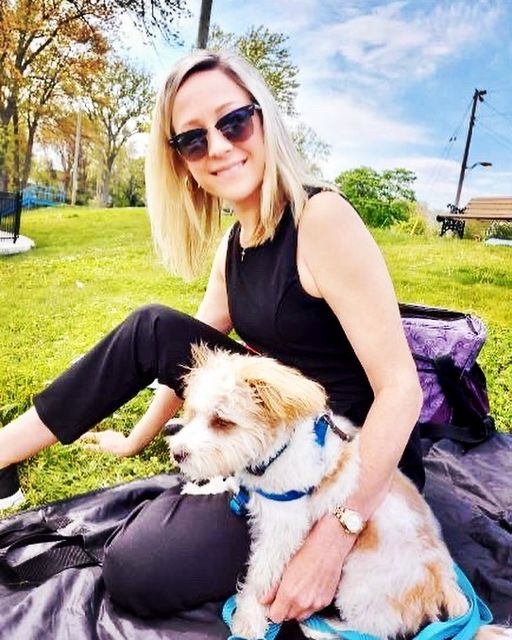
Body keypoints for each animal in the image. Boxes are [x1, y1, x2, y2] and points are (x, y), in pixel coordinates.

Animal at [169, 348, 508, 640]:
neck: (276, 454)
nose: (177, 453)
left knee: (378, 629)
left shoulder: (283, 532)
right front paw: (201, 485)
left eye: (222, 421)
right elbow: (230, 480)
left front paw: (248, 621)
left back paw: (322, 628)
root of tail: (444, 577)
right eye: (193, 413)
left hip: (358, 584)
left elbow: (260, 577)